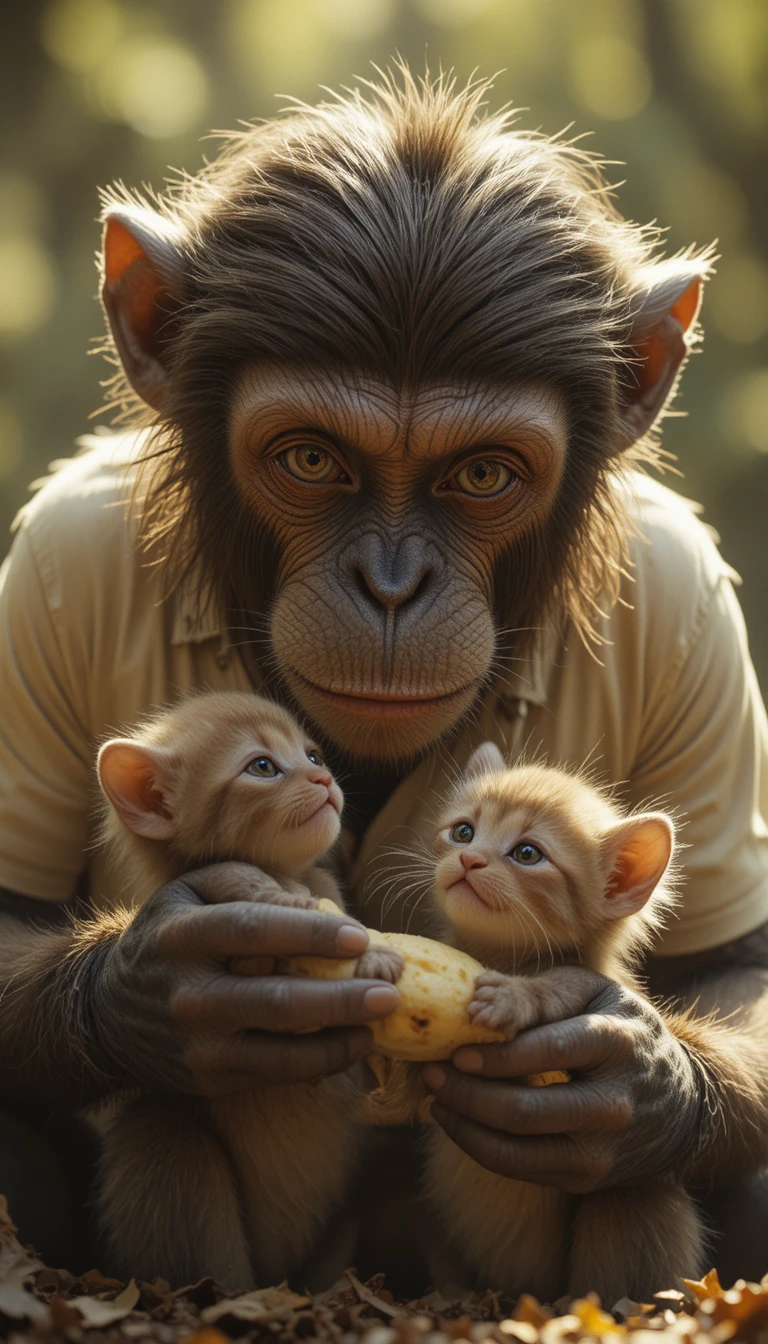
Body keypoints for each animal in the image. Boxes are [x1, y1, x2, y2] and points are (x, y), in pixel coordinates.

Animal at [95, 689, 403, 1292]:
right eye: (262, 766)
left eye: (313, 755)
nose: (324, 778)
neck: (288, 876)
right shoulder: (229, 890)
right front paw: (367, 955)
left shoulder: (322, 883)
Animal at [416, 742, 705, 1304]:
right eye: (463, 831)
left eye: (528, 854)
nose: (468, 859)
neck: (497, 954)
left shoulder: (586, 978)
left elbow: (559, 984)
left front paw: (515, 996)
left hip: (630, 1203)